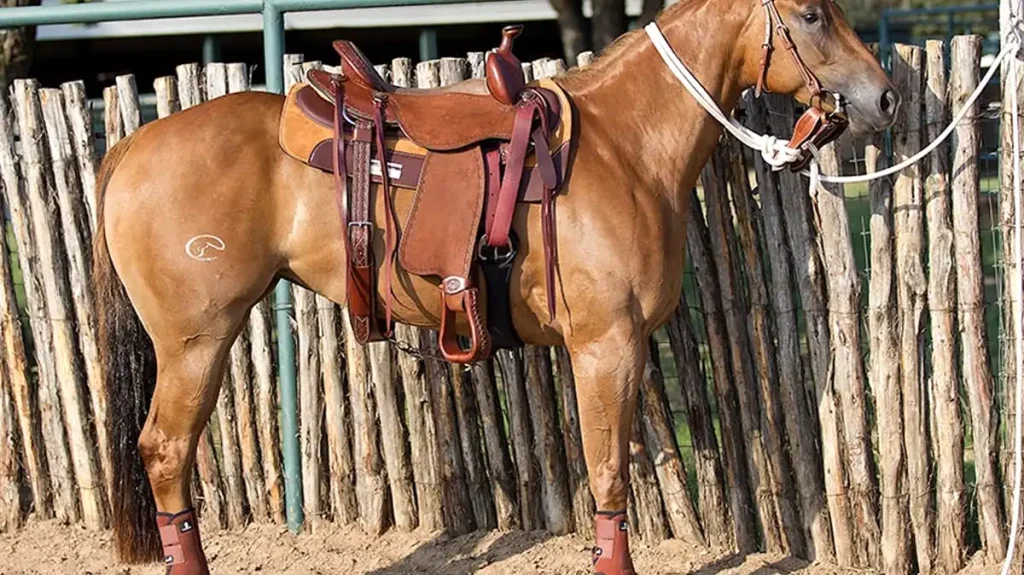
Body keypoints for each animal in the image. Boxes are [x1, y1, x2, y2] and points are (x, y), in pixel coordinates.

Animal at [93, 0, 897, 573]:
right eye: (812, 13)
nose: (886, 98)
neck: (625, 146)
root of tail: (131, 144)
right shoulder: (606, 346)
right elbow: (610, 477)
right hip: (196, 340)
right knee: (165, 451)